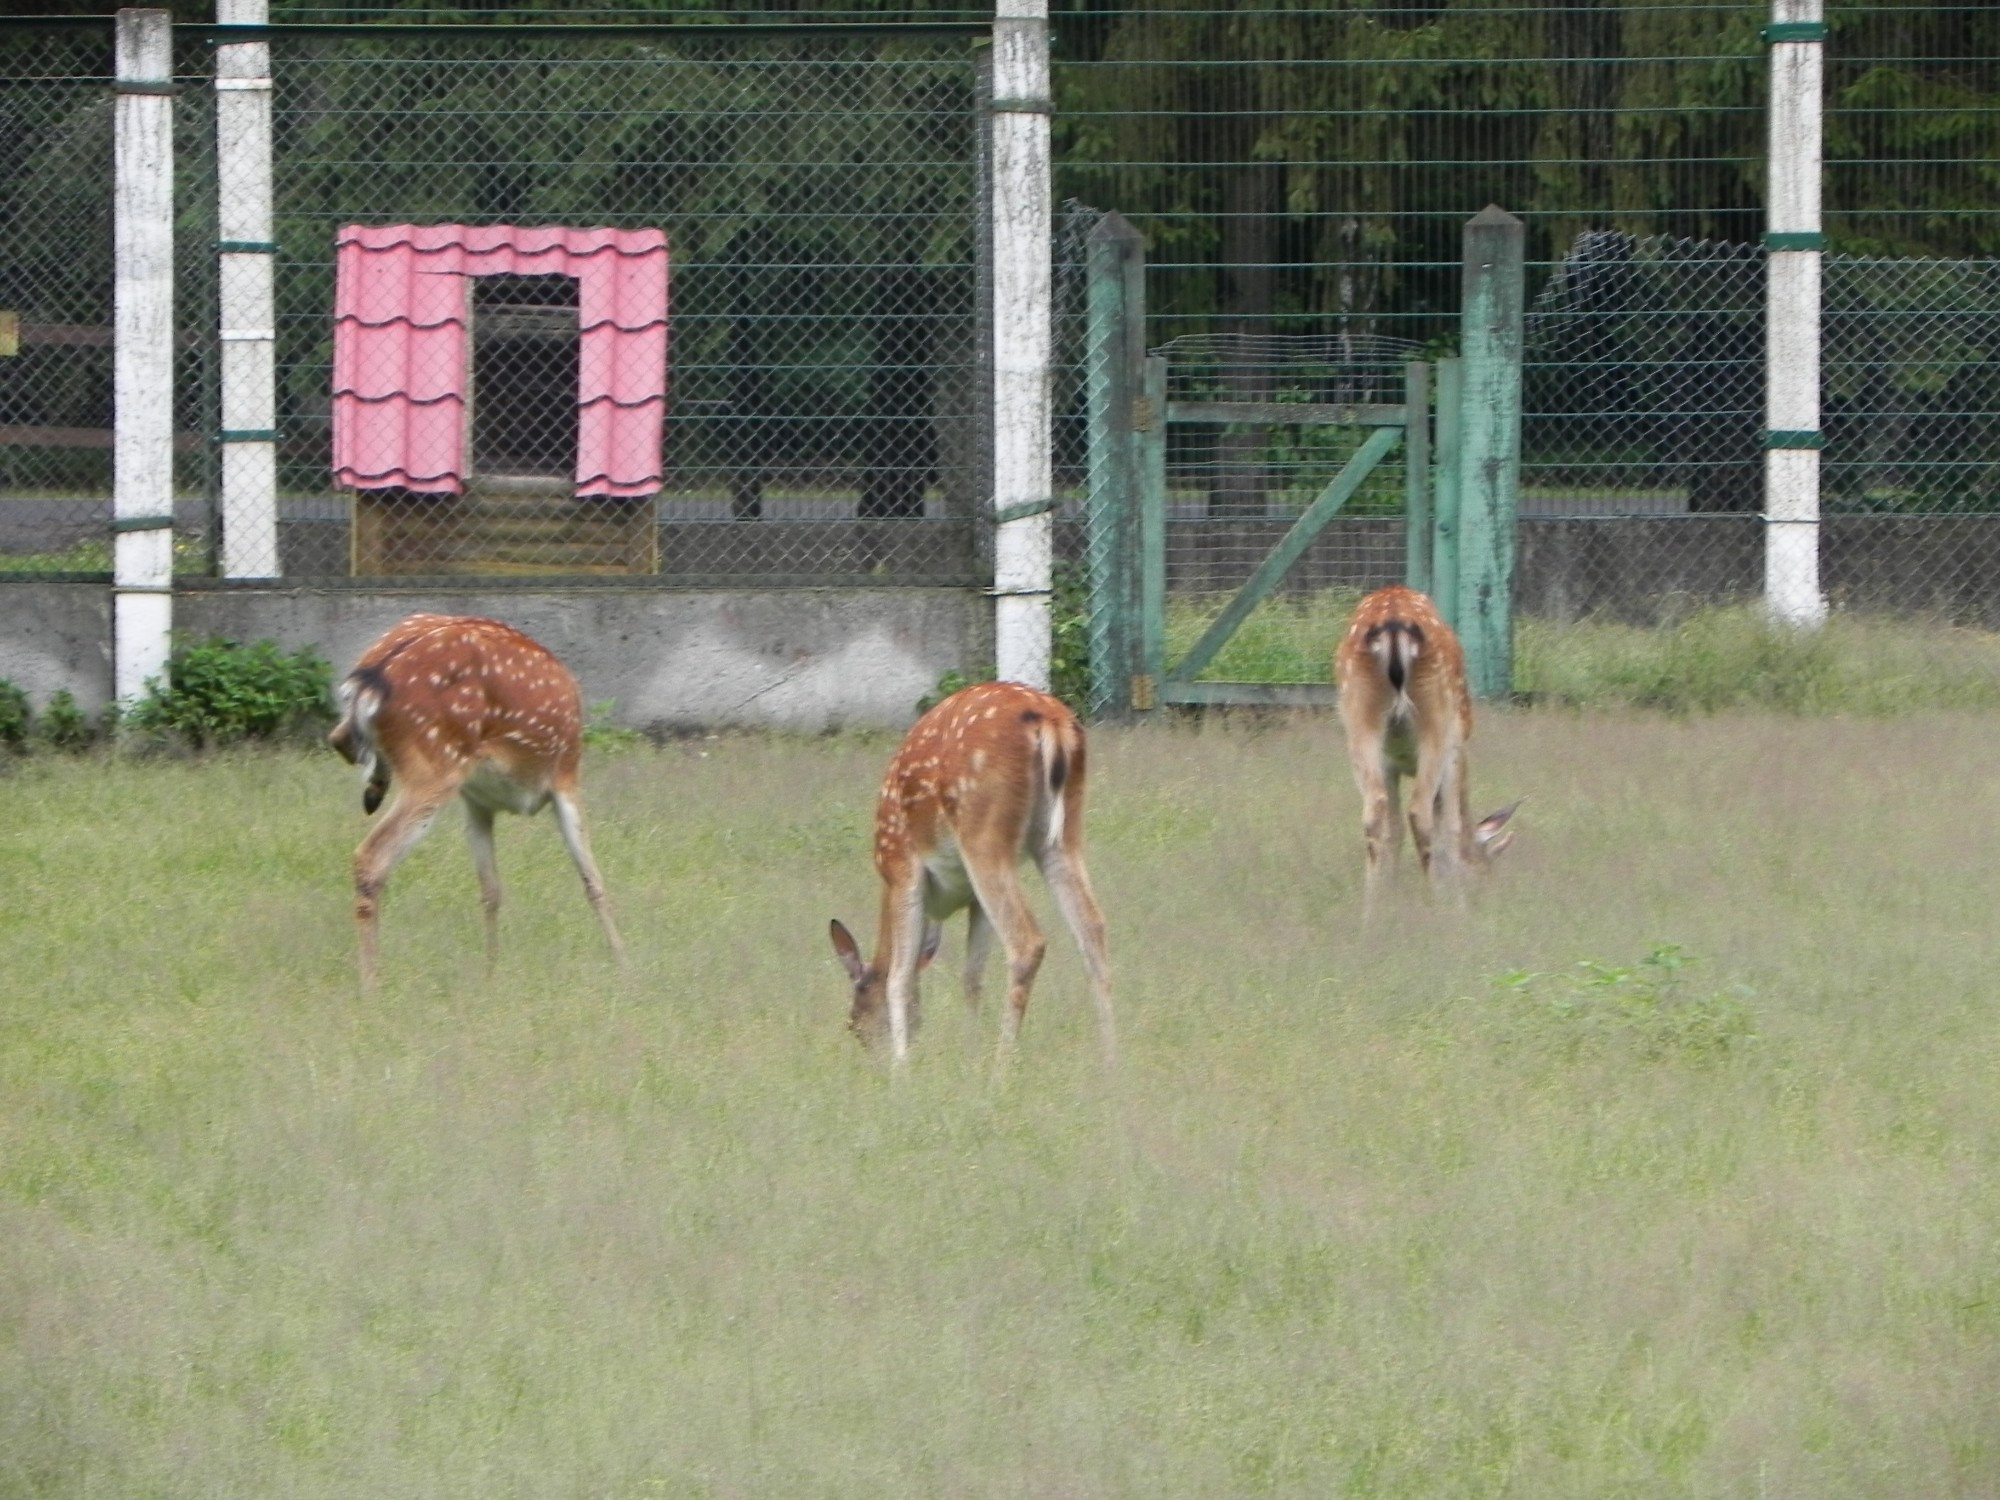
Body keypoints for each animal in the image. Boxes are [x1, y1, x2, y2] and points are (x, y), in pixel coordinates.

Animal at [328, 612, 624, 988]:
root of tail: (369, 678)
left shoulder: (478, 801)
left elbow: (490, 890)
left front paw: (491, 973)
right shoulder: (565, 778)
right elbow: (593, 879)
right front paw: (626, 969)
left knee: (338, 742)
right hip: (436, 765)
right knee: (371, 856)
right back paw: (371, 984)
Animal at [824, 680, 1120, 1072]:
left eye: (855, 1026)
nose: (873, 1061)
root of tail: (1050, 720)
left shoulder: (902, 871)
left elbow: (898, 978)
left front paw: (901, 1071)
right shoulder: (973, 900)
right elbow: (971, 977)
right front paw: (969, 1056)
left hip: (983, 834)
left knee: (1027, 942)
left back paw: (1002, 1070)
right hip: (1062, 835)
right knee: (1091, 928)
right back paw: (1111, 1065)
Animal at [1336, 588, 1520, 916]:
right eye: (1484, 864)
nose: (1486, 899)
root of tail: (1393, 620)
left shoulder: (1390, 762)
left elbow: (1394, 831)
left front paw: (1392, 896)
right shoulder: (1455, 754)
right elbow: (1451, 827)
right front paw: (1456, 902)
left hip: (1358, 714)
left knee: (1374, 811)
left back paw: (1370, 912)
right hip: (1436, 714)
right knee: (1420, 812)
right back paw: (1436, 903)